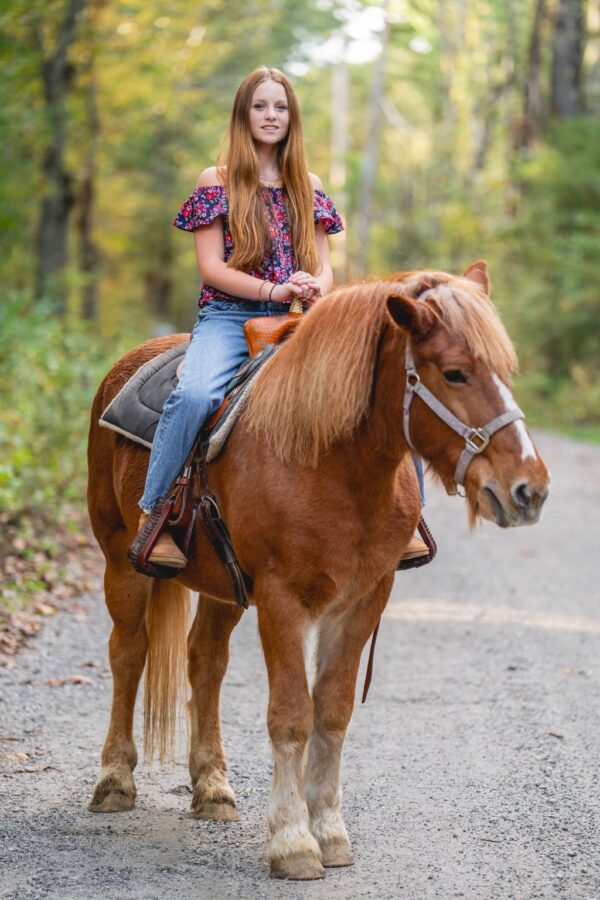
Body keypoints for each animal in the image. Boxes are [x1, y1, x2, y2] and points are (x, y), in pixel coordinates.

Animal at [86, 260, 552, 880]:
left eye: (504, 370)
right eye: (454, 373)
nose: (529, 490)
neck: (331, 460)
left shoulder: (364, 598)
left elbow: (331, 711)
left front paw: (329, 832)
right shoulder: (282, 598)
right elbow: (290, 714)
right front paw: (292, 842)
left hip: (222, 589)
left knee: (205, 661)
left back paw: (212, 787)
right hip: (122, 562)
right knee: (128, 654)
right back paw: (115, 780)